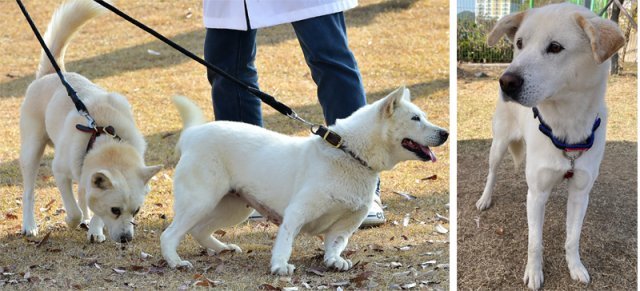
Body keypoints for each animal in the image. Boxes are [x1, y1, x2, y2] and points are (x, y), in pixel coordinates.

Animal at [19, 0, 161, 244]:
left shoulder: (88, 174)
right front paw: (71, 221)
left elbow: (92, 204)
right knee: (29, 191)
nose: (126, 239)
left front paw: (95, 229)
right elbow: (74, 209)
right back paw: (30, 225)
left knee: (82, 192)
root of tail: (52, 73)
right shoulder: (59, 171)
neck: (105, 138)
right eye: (115, 210)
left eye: (137, 211)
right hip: (32, 149)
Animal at [162, 88, 448, 274]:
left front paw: (334, 261)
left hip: (233, 207)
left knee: (199, 230)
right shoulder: (296, 213)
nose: (445, 133)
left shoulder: (345, 225)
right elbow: (286, 241)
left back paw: (222, 248)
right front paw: (279, 266)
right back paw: (176, 262)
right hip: (201, 201)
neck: (349, 154)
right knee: (170, 235)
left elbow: (335, 245)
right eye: (415, 118)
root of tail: (193, 134)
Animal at [480, 2, 624, 290]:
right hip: (498, 145)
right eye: (520, 43)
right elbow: (535, 242)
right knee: (492, 173)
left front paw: (575, 267)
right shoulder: (536, 194)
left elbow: (573, 238)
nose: (506, 81)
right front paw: (534, 273)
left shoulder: (580, 193)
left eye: (555, 47)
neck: (566, 127)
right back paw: (485, 198)